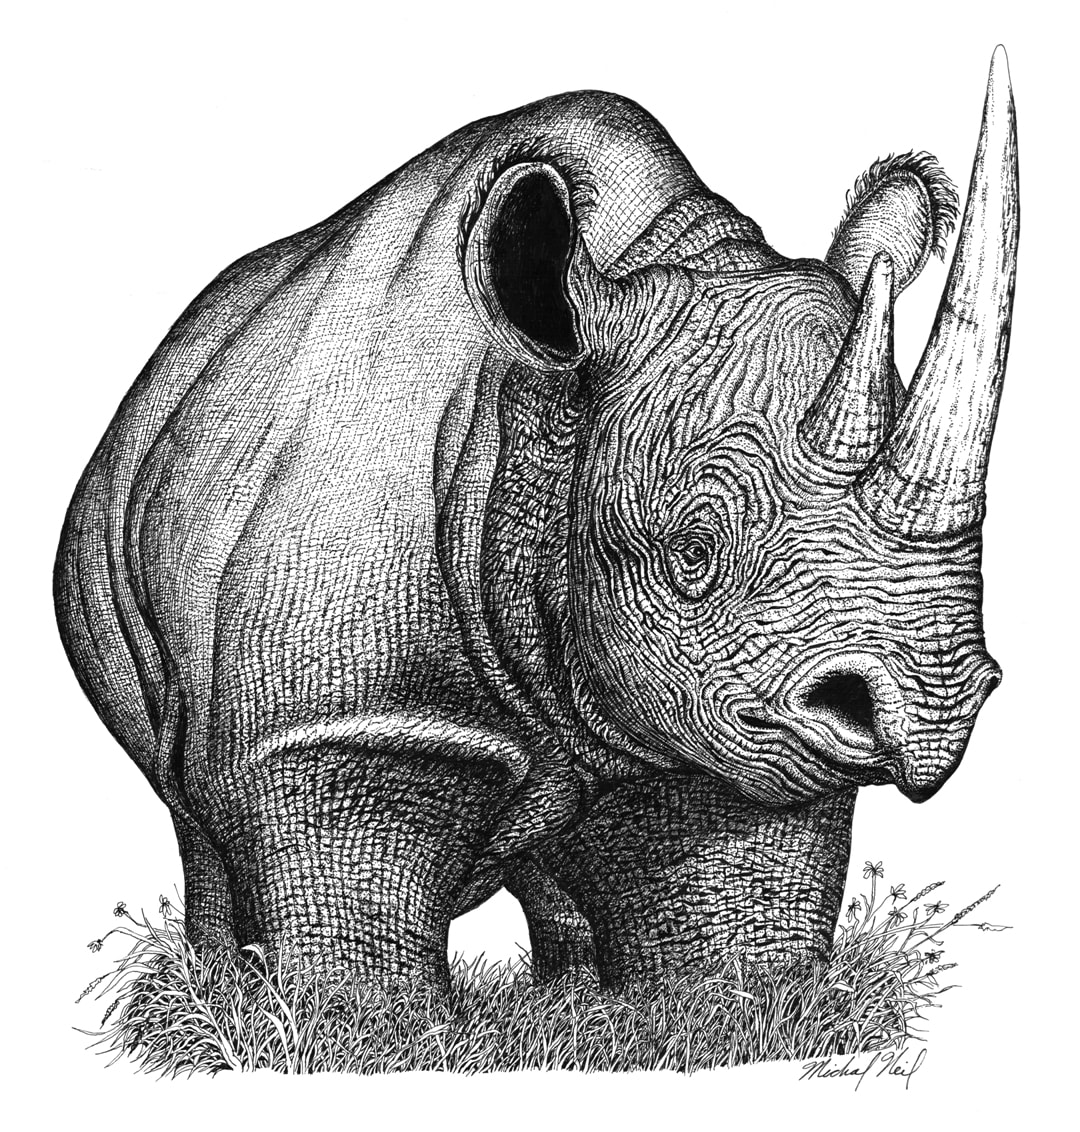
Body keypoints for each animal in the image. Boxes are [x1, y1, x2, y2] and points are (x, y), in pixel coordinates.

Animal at [55, 49, 1017, 992]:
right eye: (693, 552)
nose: (933, 715)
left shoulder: (717, 724)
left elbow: (733, 932)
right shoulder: (334, 728)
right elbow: (351, 931)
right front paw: (348, 1024)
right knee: (192, 817)